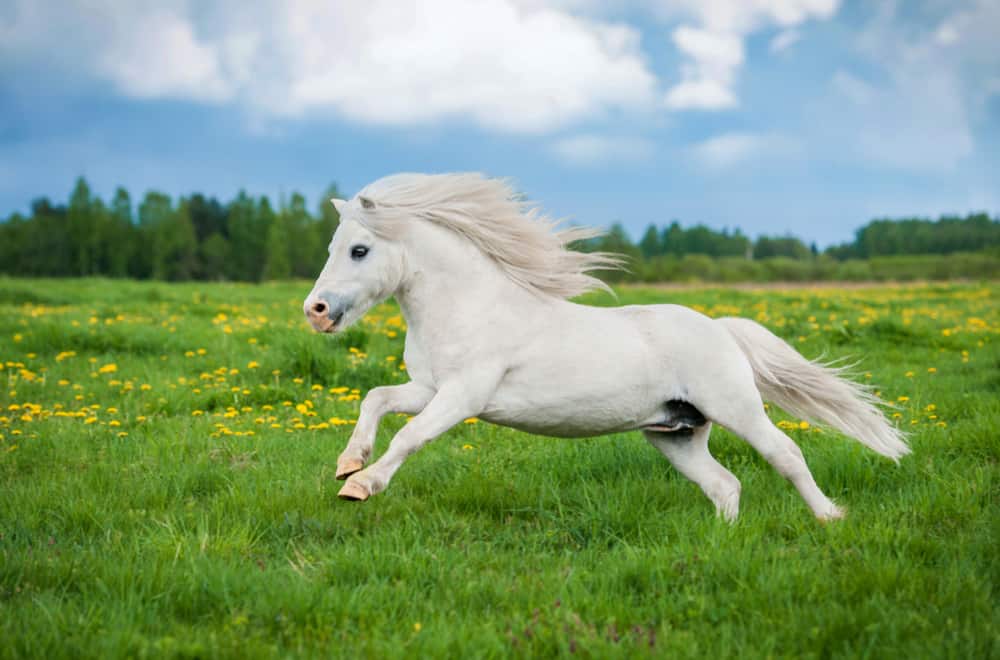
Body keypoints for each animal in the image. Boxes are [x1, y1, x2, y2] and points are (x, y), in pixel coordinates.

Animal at [302, 173, 908, 521]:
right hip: (675, 434)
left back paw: (829, 518)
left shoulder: (464, 396)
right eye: (332, 246)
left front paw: (361, 487)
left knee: (785, 455)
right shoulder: (428, 386)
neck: (470, 307)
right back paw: (724, 542)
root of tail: (720, 328)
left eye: (358, 250)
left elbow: (410, 435)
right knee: (724, 484)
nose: (316, 311)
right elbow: (377, 399)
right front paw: (347, 463)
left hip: (737, 408)